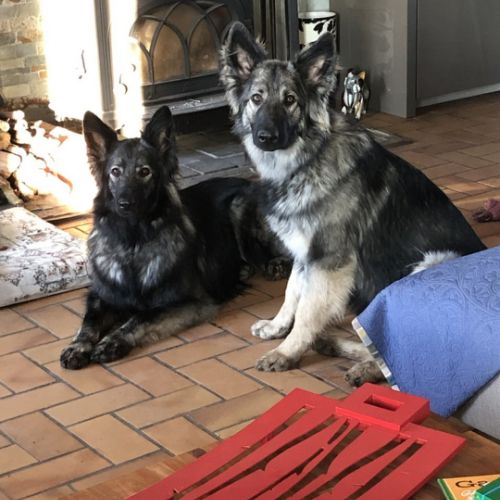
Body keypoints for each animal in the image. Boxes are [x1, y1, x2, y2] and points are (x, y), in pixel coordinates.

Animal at [60, 105, 288, 369]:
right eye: (115, 172)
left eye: (145, 172)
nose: (124, 204)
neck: (133, 241)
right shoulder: (100, 296)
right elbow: (88, 323)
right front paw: (77, 347)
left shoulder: (190, 302)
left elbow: (141, 317)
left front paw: (112, 341)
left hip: (239, 206)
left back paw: (274, 264)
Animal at [220, 22, 486, 385]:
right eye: (256, 99)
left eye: (290, 100)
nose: (266, 137)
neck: (307, 160)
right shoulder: (306, 254)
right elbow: (292, 292)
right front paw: (277, 327)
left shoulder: (329, 263)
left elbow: (307, 311)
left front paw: (287, 351)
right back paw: (334, 345)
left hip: (428, 265)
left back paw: (363, 366)